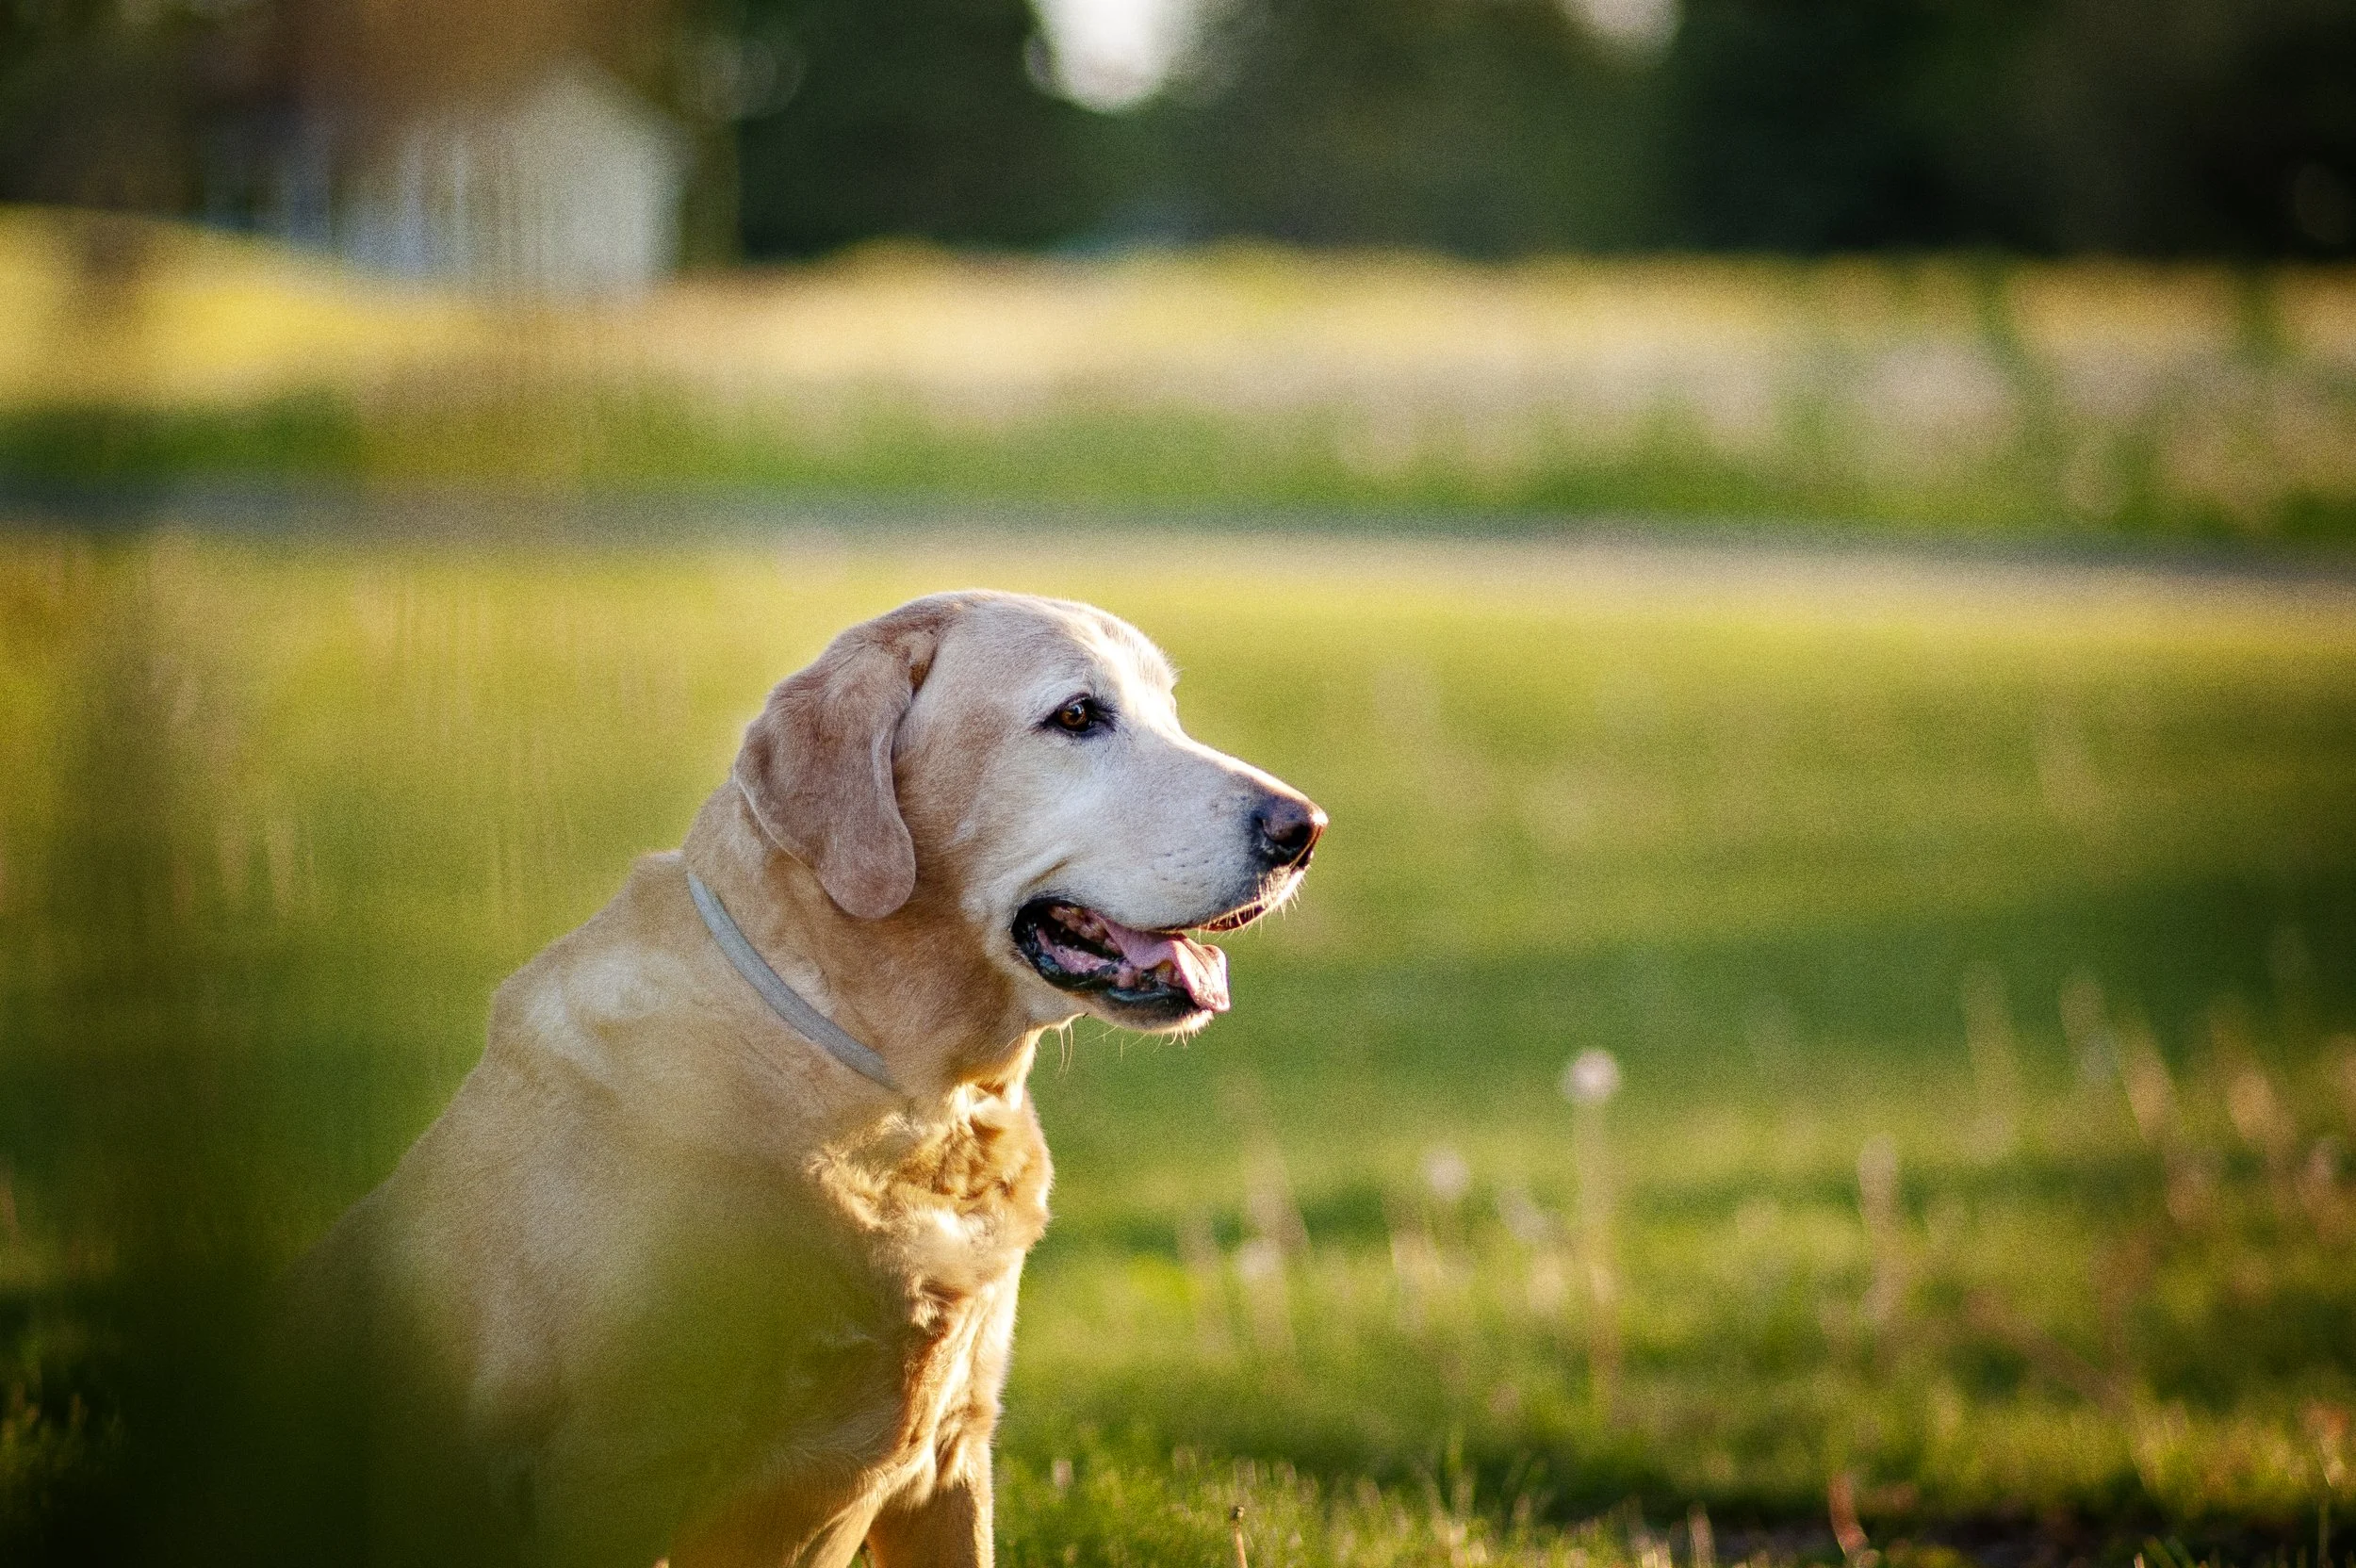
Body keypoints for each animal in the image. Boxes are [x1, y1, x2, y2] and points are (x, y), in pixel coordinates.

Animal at [275, 588, 1329, 1563]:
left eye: (1169, 709)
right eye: (1077, 715)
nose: (1306, 828)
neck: (916, 1105)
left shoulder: (954, 1457)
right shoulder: (617, 1474)